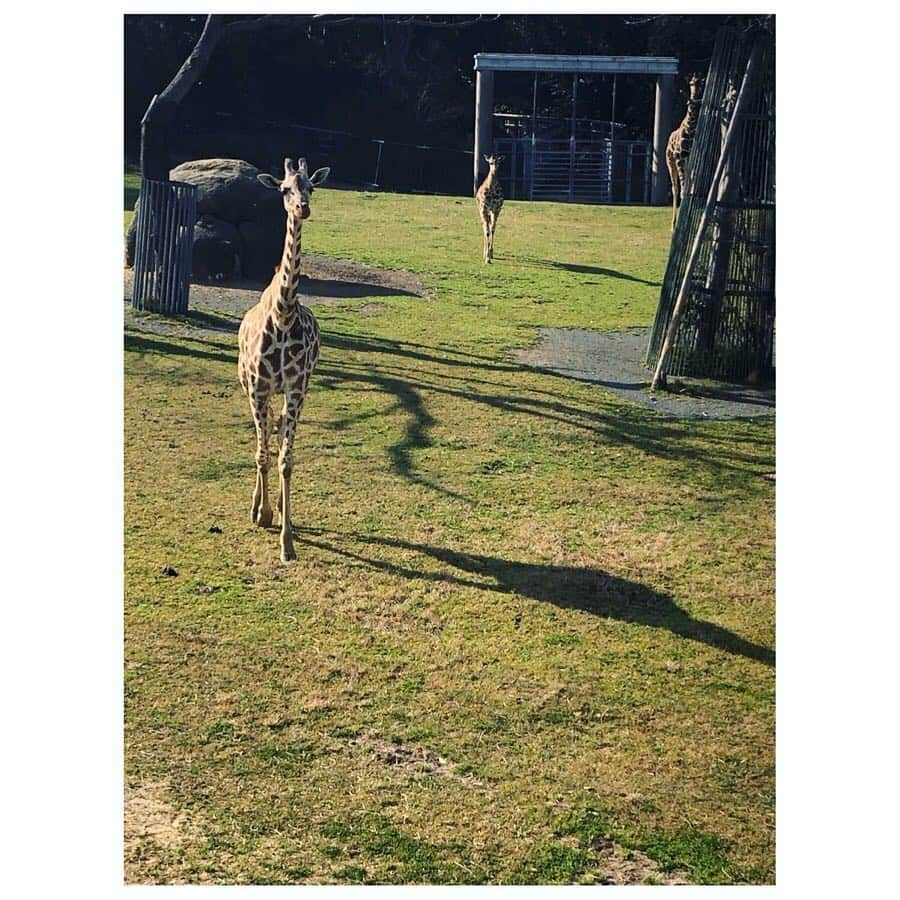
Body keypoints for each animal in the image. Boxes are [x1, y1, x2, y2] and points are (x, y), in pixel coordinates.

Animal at [664, 74, 708, 232]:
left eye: (702, 83)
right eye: (690, 83)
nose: (693, 98)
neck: (690, 127)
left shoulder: (693, 159)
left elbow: (690, 189)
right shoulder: (679, 159)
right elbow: (682, 191)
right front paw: (677, 226)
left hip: (686, 164)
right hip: (670, 162)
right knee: (675, 189)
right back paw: (673, 225)